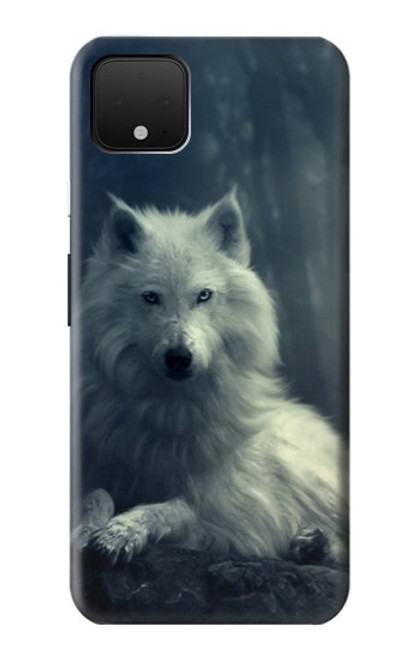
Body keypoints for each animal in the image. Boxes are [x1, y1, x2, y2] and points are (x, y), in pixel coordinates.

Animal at [73, 189, 347, 566]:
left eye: (203, 295)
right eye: (151, 297)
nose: (178, 358)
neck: (170, 412)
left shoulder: (231, 509)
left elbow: (174, 508)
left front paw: (122, 532)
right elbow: (98, 494)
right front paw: (85, 530)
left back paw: (315, 542)